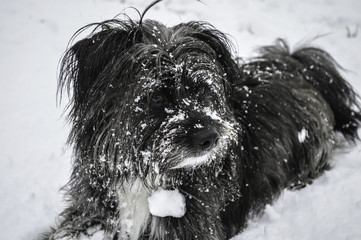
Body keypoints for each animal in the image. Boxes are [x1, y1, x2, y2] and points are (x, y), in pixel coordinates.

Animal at [45, 2, 360, 240]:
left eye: (202, 89)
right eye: (156, 96)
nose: (210, 138)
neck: (143, 175)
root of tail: (297, 65)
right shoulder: (92, 212)